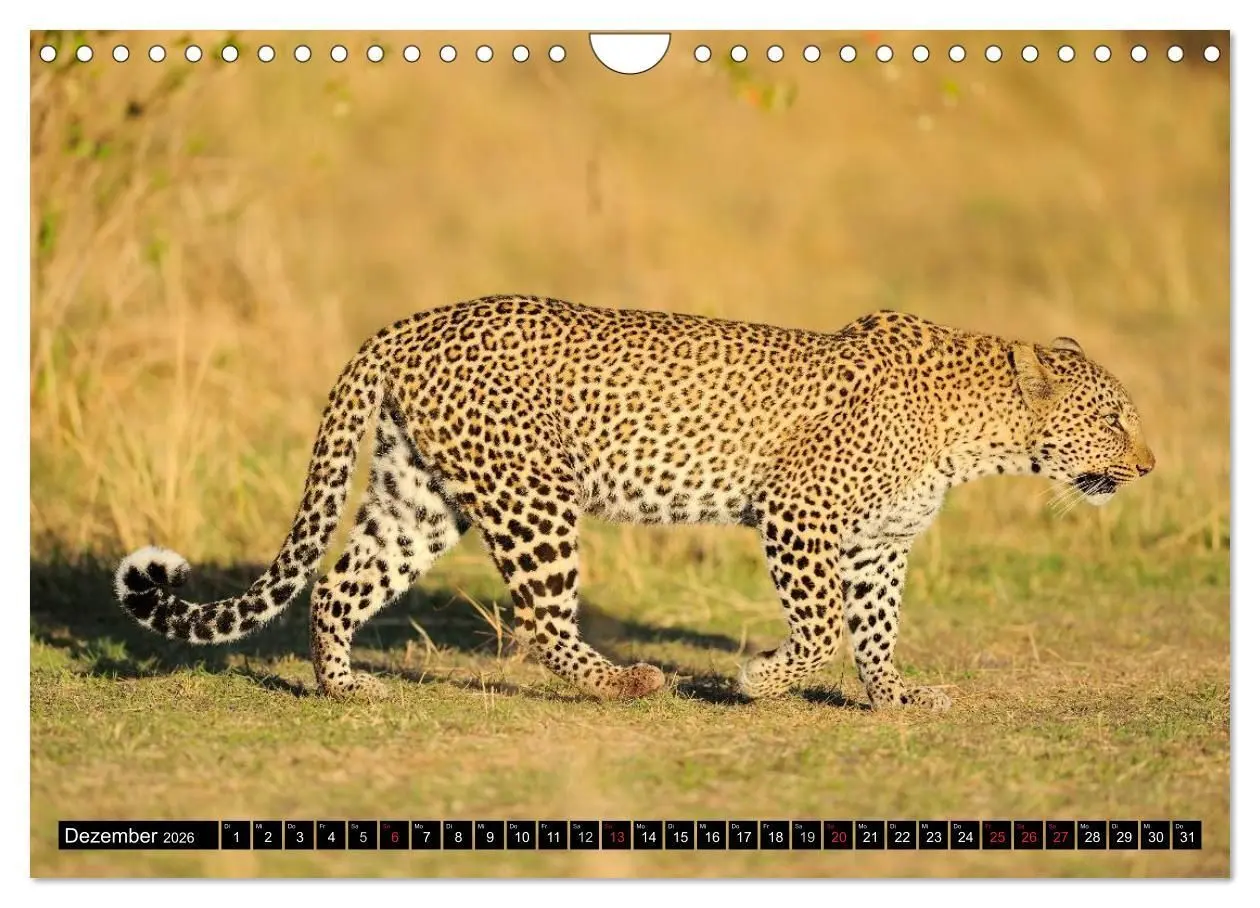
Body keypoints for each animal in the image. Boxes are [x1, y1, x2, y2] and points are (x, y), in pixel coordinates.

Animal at [114, 295, 1156, 711]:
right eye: (1115, 417)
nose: (1148, 467)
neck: (982, 437)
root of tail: (408, 324)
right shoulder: (799, 514)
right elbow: (822, 629)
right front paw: (758, 681)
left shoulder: (878, 545)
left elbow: (874, 628)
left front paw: (897, 696)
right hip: (533, 496)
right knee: (543, 620)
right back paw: (626, 682)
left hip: (422, 494)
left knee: (338, 585)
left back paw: (343, 687)